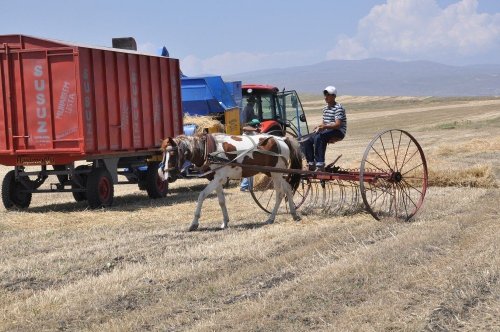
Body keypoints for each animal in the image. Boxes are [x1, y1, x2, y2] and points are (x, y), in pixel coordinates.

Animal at [158, 132, 302, 231]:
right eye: (163, 154)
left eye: (173, 155)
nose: (168, 177)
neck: (208, 151)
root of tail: (282, 139)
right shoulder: (216, 180)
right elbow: (221, 201)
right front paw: (225, 222)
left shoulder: (218, 178)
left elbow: (202, 195)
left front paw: (194, 223)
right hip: (274, 173)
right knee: (288, 188)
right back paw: (294, 214)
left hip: (276, 173)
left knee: (279, 193)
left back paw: (271, 218)